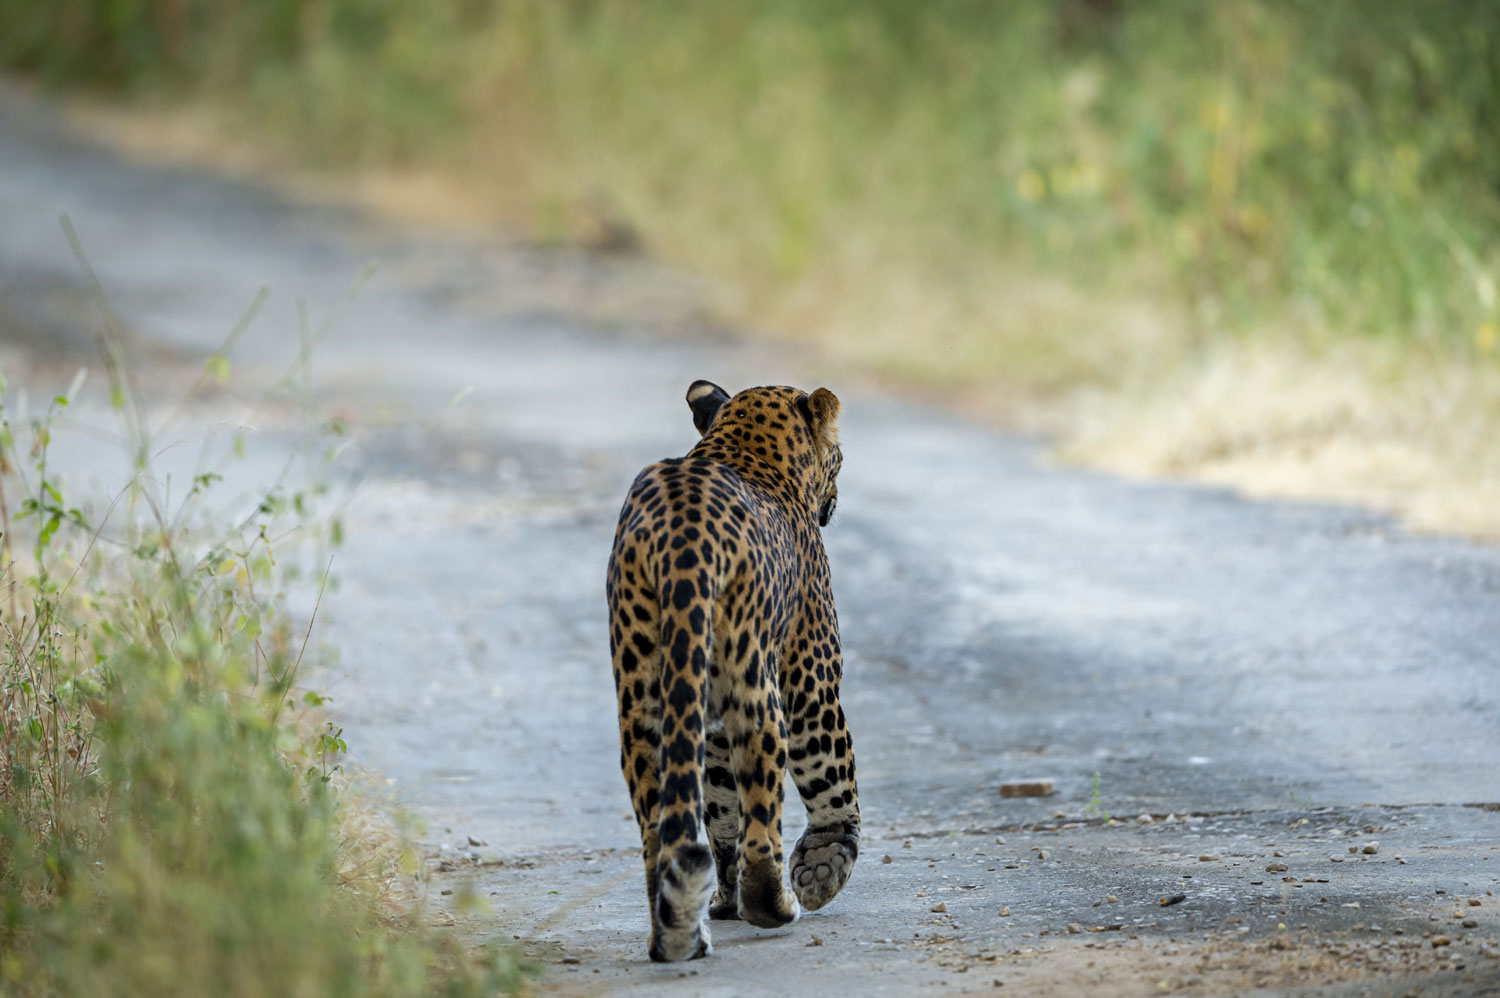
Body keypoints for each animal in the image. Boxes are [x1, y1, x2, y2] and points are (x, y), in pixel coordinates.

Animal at [603, 379, 864, 960]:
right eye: (839, 456)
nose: (836, 500)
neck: (748, 444)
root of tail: (683, 535)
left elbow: (720, 805)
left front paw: (725, 896)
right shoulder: (812, 672)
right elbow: (832, 774)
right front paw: (824, 864)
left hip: (641, 691)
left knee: (659, 820)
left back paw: (678, 926)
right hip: (756, 680)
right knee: (766, 799)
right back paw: (772, 904)